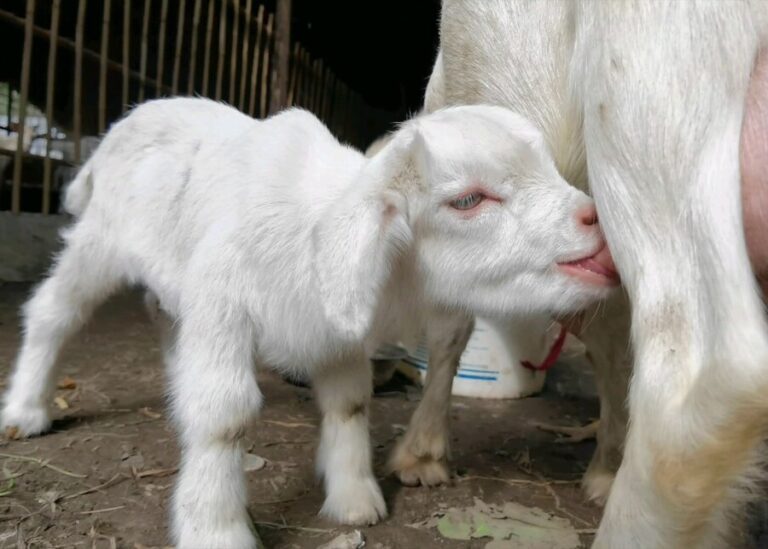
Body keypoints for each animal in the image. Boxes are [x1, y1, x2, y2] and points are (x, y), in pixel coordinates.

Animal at [2, 97, 617, 548]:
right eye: (467, 200)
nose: (597, 222)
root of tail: (117, 130)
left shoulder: (331, 325)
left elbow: (349, 402)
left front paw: (353, 500)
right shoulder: (223, 297)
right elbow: (224, 415)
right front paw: (215, 526)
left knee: (163, 315)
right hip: (100, 241)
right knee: (53, 311)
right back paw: (25, 410)